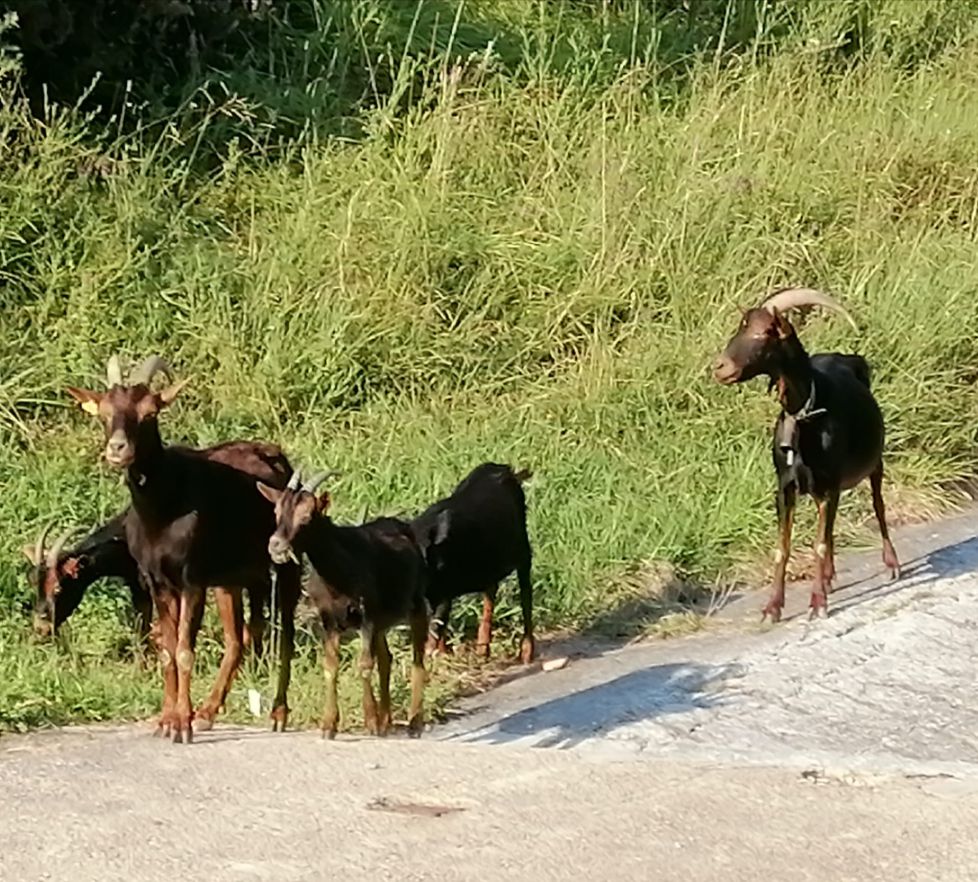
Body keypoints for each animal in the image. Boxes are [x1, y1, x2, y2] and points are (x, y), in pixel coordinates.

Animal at [66, 355, 301, 743]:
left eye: (149, 413)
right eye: (103, 412)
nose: (118, 448)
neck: (162, 509)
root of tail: (276, 455)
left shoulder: (192, 579)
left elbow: (183, 650)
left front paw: (180, 725)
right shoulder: (157, 581)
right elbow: (167, 650)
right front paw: (168, 719)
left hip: (284, 563)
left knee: (285, 634)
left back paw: (278, 713)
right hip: (230, 578)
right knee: (238, 638)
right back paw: (207, 712)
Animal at [259, 470, 429, 739]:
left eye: (307, 516)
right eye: (276, 511)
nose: (276, 545)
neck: (339, 571)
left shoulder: (367, 616)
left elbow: (365, 665)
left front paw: (370, 721)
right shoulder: (329, 620)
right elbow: (331, 666)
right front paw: (329, 724)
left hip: (416, 603)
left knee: (417, 659)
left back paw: (414, 723)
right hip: (382, 621)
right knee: (386, 658)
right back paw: (386, 720)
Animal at [411, 463, 535, 663]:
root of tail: (507, 471)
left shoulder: (444, 590)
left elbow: (437, 623)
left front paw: (431, 652)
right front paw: (443, 654)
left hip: (523, 550)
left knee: (525, 596)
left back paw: (526, 652)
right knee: (491, 593)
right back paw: (482, 650)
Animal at [713, 287, 900, 621]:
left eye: (764, 332)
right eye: (741, 326)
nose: (720, 367)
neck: (804, 414)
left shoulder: (830, 485)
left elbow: (818, 544)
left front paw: (817, 603)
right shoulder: (785, 486)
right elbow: (783, 547)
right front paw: (773, 607)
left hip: (874, 464)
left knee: (878, 506)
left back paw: (890, 564)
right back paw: (827, 577)